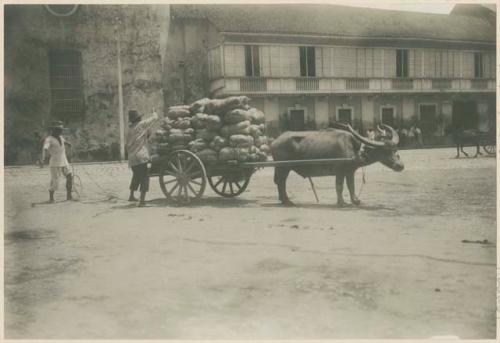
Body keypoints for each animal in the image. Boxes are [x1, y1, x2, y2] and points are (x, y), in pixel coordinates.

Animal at [272, 125, 404, 208]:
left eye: (395, 149)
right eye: (385, 151)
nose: (400, 165)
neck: (354, 149)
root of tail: (275, 142)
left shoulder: (350, 171)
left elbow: (351, 186)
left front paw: (355, 200)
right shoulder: (339, 171)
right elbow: (339, 186)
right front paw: (341, 202)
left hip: (282, 168)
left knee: (279, 182)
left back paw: (283, 200)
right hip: (283, 168)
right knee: (281, 182)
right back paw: (287, 201)